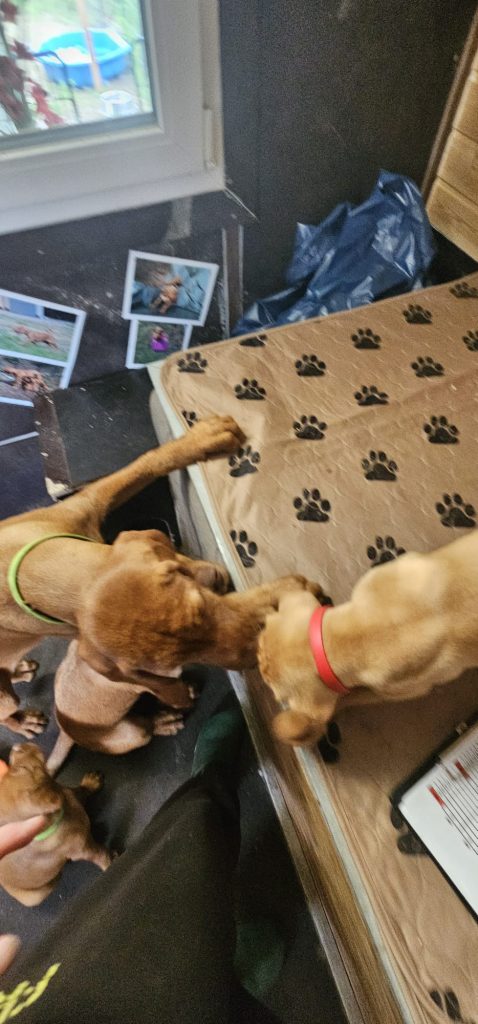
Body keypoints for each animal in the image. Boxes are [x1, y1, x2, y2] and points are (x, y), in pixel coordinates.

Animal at [0, 414, 317, 745]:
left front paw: (203, 438)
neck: (32, 568)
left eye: (201, 606)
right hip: (9, 701)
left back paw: (21, 669)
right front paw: (284, 592)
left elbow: (146, 463)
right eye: (174, 664)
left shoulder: (86, 504)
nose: (255, 656)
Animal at [0, 743, 112, 905]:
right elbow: (101, 854)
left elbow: (80, 790)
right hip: (35, 897)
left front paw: (91, 783)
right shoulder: (84, 849)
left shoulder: (69, 793)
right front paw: (110, 864)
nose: (16, 746)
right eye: (23, 768)